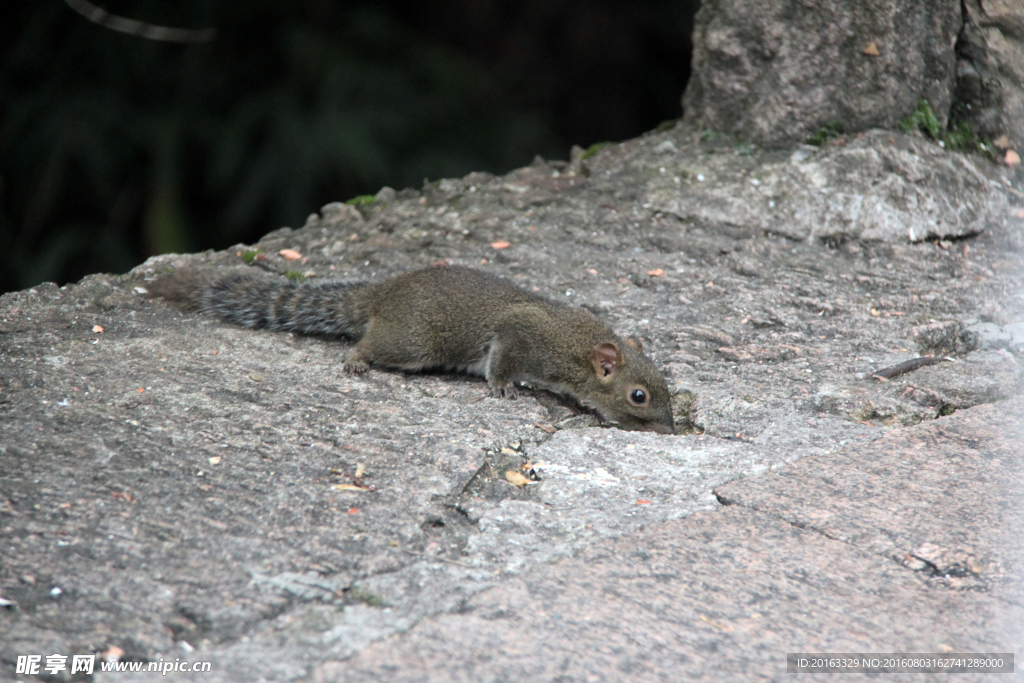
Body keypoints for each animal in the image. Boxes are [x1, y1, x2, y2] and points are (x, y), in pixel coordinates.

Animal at [151, 264, 675, 436]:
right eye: (639, 397)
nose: (670, 430)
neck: (580, 346)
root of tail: (383, 294)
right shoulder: (523, 334)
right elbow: (502, 359)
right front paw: (503, 387)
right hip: (413, 342)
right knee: (371, 341)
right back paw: (356, 359)